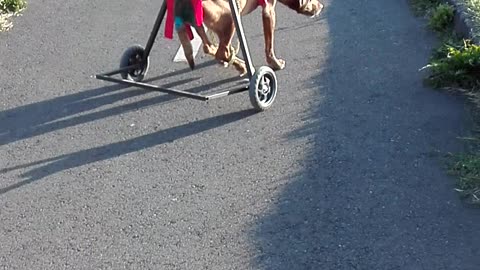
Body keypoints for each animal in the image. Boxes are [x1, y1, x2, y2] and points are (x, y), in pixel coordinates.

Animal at [174, 0, 324, 75]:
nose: (322, 6)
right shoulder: (268, 10)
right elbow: (269, 44)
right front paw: (275, 63)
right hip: (230, 17)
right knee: (221, 52)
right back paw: (240, 64)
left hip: (202, 25)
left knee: (210, 48)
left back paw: (235, 62)